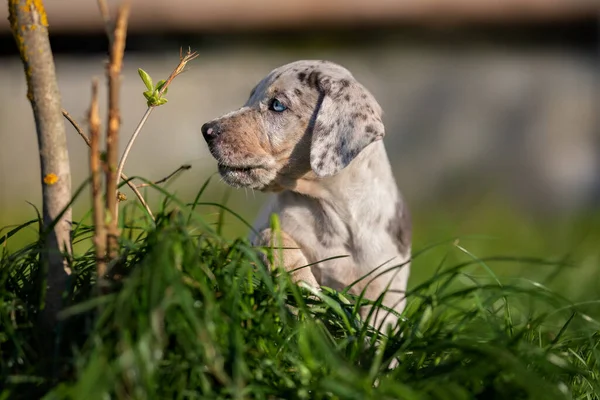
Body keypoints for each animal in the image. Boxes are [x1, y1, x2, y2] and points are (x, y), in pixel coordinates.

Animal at [202, 59, 412, 328]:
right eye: (250, 98)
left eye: (277, 105)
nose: (206, 130)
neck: (331, 214)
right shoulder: (263, 232)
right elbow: (273, 237)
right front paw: (302, 287)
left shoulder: (385, 289)